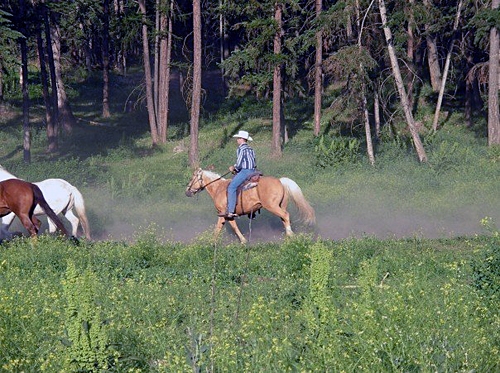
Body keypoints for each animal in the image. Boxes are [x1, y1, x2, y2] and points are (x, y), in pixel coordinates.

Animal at [186, 167, 314, 243]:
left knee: (286, 216)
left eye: (192, 178)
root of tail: (280, 180)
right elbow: (227, 227)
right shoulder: (226, 215)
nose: (187, 191)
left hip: (272, 206)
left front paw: (212, 242)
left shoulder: (223, 213)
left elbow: (223, 228)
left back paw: (290, 235)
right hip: (280, 205)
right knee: (284, 218)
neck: (218, 188)